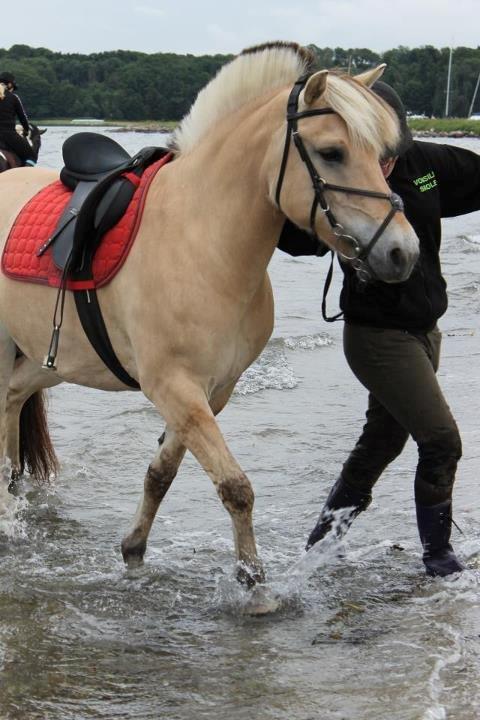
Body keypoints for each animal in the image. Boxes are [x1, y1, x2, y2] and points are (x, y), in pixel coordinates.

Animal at [0, 46, 416, 596]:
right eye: (332, 153)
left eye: (380, 154)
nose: (403, 252)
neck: (202, 237)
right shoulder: (174, 388)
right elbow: (235, 486)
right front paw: (253, 584)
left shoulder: (211, 392)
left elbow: (162, 473)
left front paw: (134, 550)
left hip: (49, 359)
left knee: (11, 400)